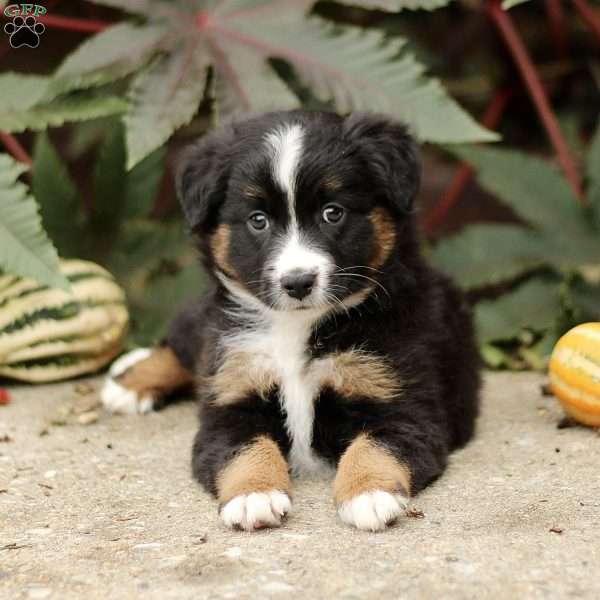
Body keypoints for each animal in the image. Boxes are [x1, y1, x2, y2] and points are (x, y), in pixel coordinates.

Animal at [101, 111, 480, 528]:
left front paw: (368, 493)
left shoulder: (402, 401)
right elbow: (245, 448)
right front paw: (254, 495)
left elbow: (376, 444)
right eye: (258, 220)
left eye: (333, 212)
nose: (297, 282)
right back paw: (130, 381)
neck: (296, 327)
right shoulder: (231, 395)